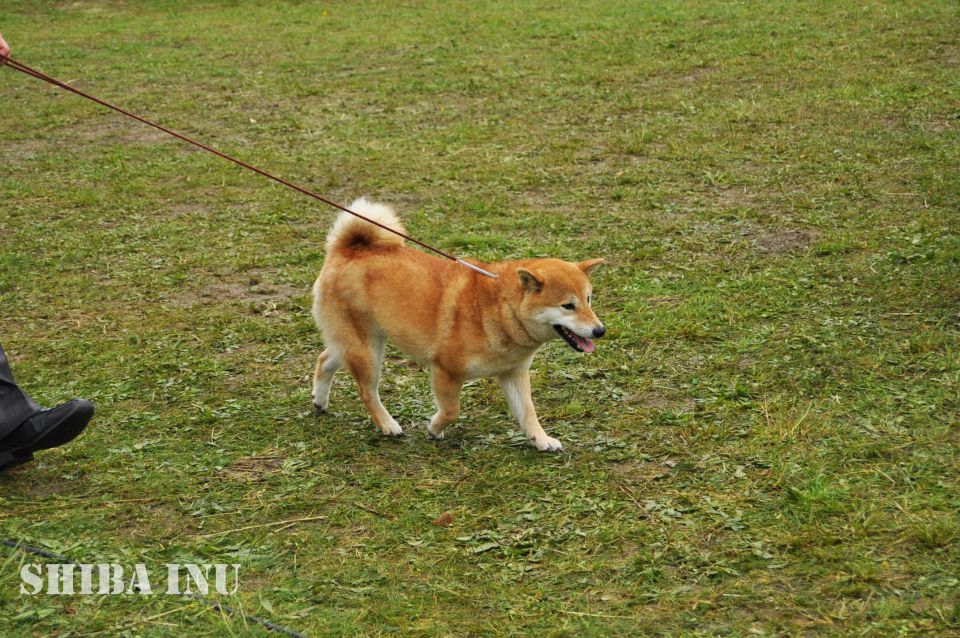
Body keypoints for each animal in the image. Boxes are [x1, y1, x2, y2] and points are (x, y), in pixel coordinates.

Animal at [312, 200, 604, 456]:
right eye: (568, 306)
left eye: (589, 299)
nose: (600, 331)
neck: (499, 310)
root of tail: (350, 250)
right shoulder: (446, 370)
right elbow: (452, 410)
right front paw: (434, 428)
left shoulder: (513, 373)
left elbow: (528, 412)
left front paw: (541, 440)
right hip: (368, 350)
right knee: (366, 390)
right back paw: (388, 424)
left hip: (355, 342)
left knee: (325, 359)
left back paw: (320, 400)